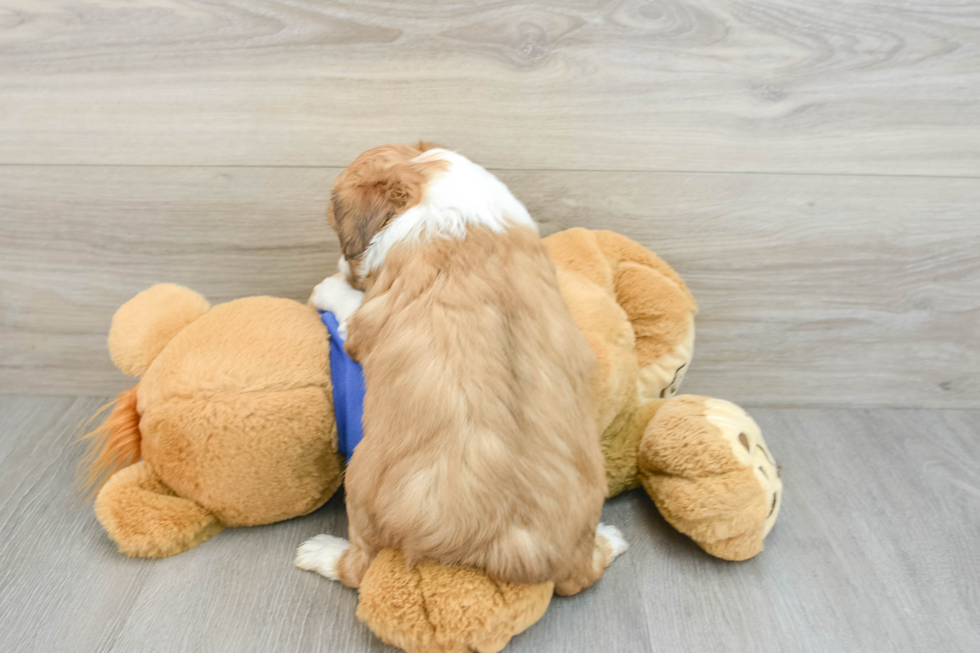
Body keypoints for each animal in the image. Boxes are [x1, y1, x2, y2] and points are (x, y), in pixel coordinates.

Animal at [294, 145, 628, 592]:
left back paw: (320, 553)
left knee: (359, 567)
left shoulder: (364, 321)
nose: (342, 265)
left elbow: (346, 304)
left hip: (361, 487)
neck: (426, 187)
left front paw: (327, 287)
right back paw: (612, 538)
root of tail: (523, 555)